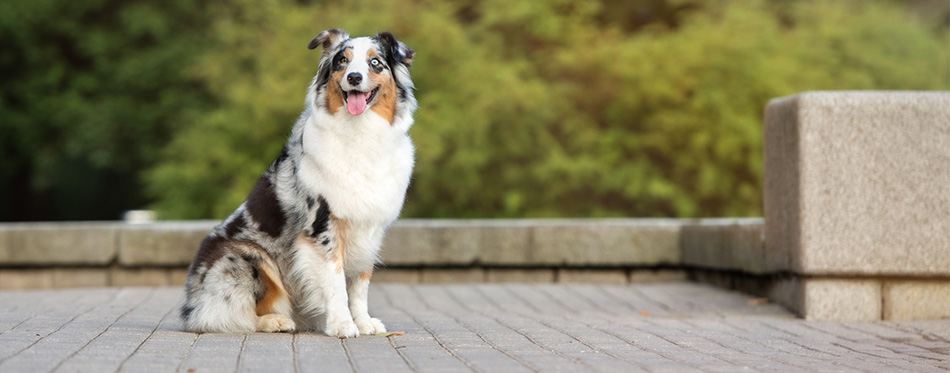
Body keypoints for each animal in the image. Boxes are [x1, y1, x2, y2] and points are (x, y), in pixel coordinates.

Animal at [179, 29, 416, 338]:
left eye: (375, 63)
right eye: (342, 61)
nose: (354, 77)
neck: (360, 133)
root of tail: (190, 305)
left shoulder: (371, 229)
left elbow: (360, 284)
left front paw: (363, 322)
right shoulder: (323, 226)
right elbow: (336, 282)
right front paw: (342, 324)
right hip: (249, 257)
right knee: (227, 314)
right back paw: (276, 321)